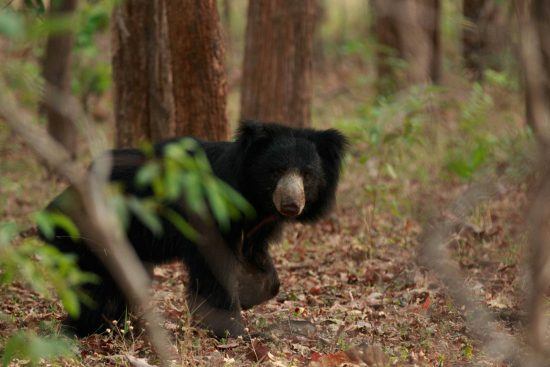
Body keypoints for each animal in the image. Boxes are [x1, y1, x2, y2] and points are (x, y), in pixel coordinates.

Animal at [41, 122, 348, 338]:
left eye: (307, 175)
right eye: (277, 171)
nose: (291, 205)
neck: (253, 199)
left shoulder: (256, 226)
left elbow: (261, 267)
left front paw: (249, 295)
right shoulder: (212, 213)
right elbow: (214, 269)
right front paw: (230, 327)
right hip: (93, 236)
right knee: (96, 287)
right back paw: (89, 329)